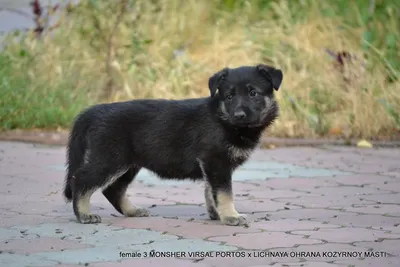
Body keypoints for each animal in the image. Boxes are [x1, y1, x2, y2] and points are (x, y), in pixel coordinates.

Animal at [62, 64, 282, 226]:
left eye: (253, 93)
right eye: (229, 96)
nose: (239, 115)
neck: (223, 118)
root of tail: (94, 111)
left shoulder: (211, 166)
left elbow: (211, 192)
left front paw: (216, 214)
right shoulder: (215, 162)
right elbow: (224, 193)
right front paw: (230, 216)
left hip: (127, 164)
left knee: (112, 190)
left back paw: (131, 210)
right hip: (110, 159)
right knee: (80, 180)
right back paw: (84, 215)